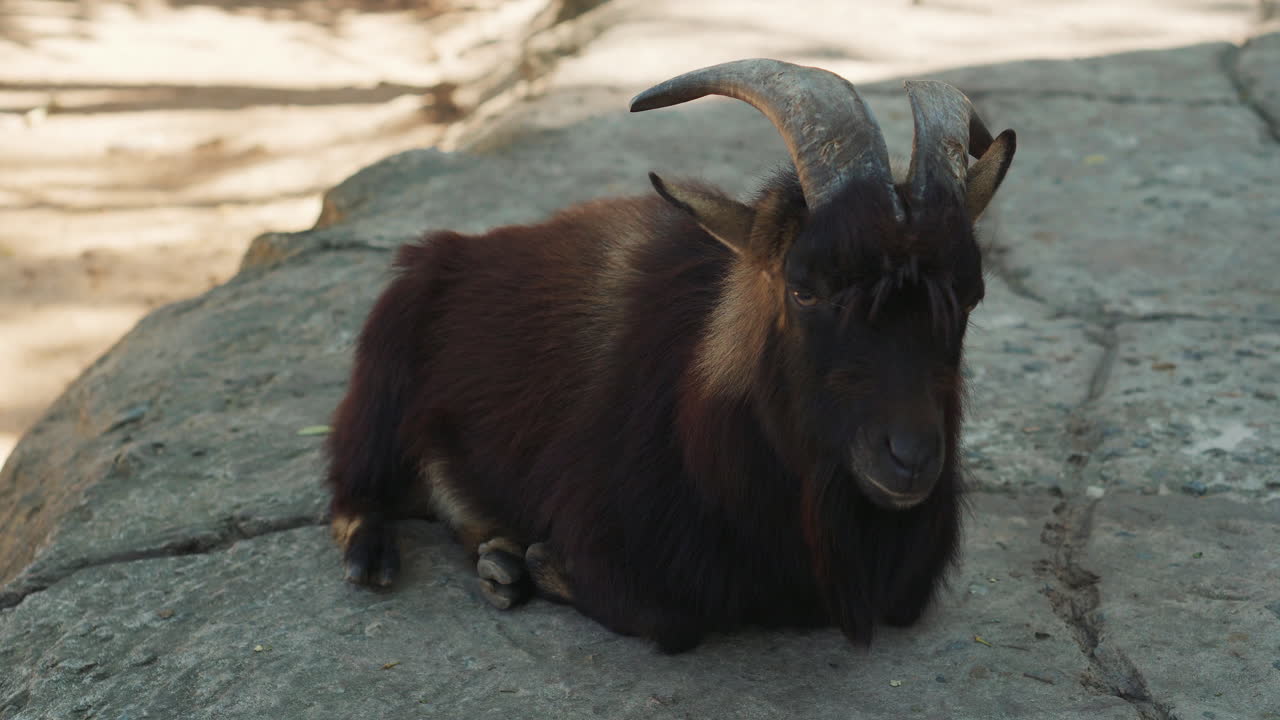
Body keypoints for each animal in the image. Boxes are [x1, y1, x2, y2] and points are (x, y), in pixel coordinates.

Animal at [324, 58, 1017, 653]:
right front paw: (540, 560)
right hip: (384, 370)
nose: (911, 460)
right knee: (356, 482)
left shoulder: (906, 585)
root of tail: (458, 249)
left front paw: (522, 560)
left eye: (971, 295)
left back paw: (496, 559)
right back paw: (382, 556)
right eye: (804, 288)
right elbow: (670, 618)